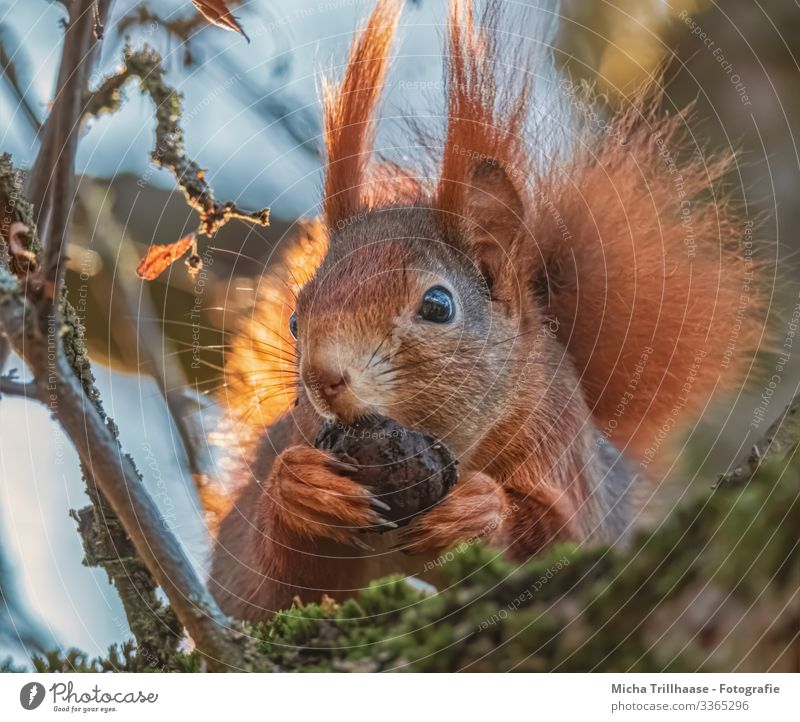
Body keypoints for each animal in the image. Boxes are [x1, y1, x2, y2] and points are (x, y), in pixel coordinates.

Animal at [205, 0, 764, 620]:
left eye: (438, 305)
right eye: (295, 319)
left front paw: (478, 512)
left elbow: (564, 544)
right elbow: (262, 590)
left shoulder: (557, 444)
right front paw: (304, 488)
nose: (323, 378)